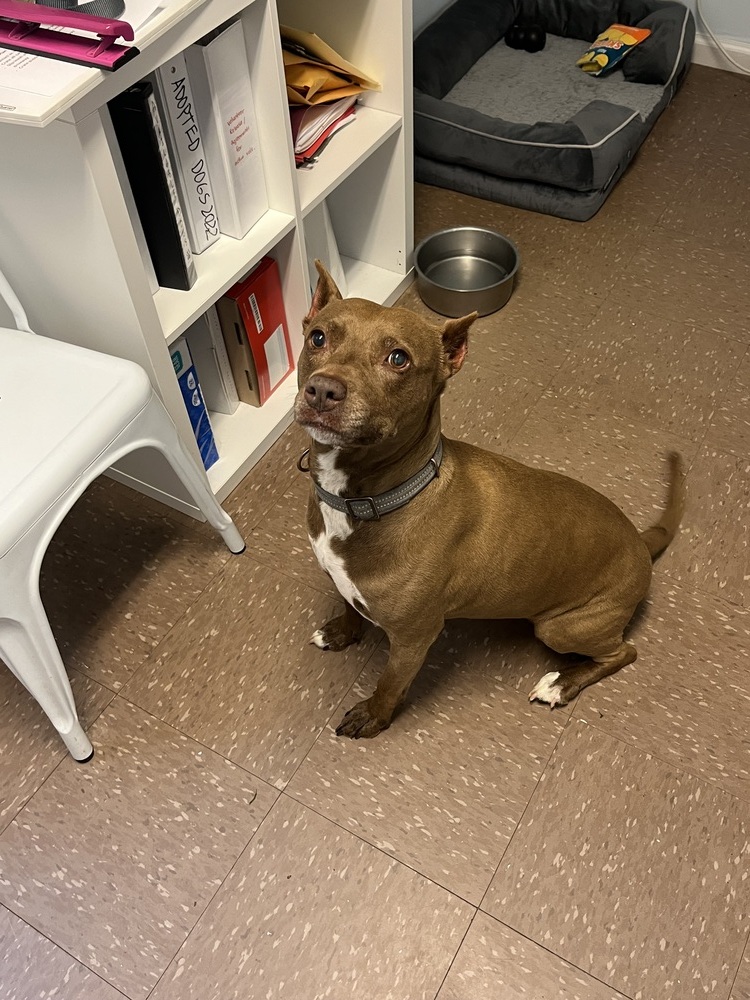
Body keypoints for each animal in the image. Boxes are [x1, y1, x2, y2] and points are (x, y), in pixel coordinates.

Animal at [294, 262, 688, 740]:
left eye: (398, 358)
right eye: (318, 337)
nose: (323, 390)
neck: (372, 499)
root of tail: (640, 541)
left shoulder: (413, 638)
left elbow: (390, 683)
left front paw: (374, 717)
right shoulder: (344, 582)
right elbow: (351, 608)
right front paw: (342, 632)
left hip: (562, 627)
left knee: (622, 653)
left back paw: (561, 685)